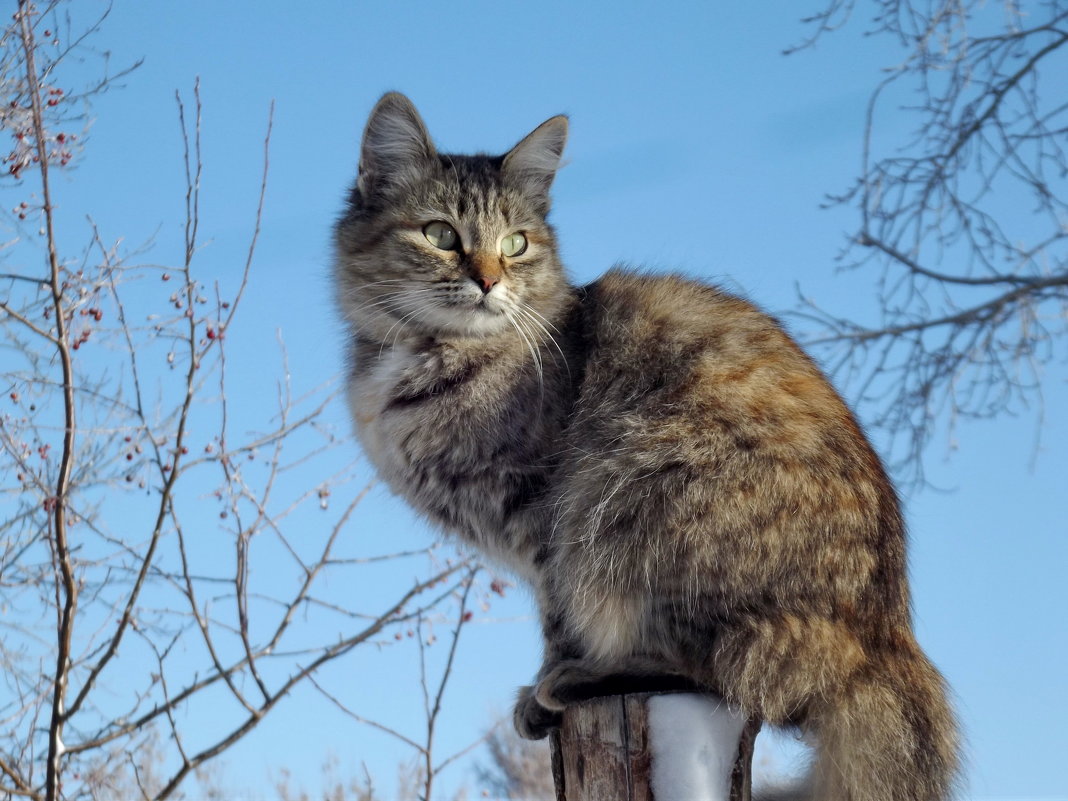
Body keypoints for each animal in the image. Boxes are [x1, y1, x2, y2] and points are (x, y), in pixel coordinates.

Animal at [333, 95, 961, 801]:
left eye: (515, 244)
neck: (422, 357)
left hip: (636, 501)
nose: (490, 282)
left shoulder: (546, 516)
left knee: (724, 674)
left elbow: (557, 619)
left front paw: (547, 680)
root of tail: (887, 639)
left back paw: (580, 679)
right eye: (441, 234)